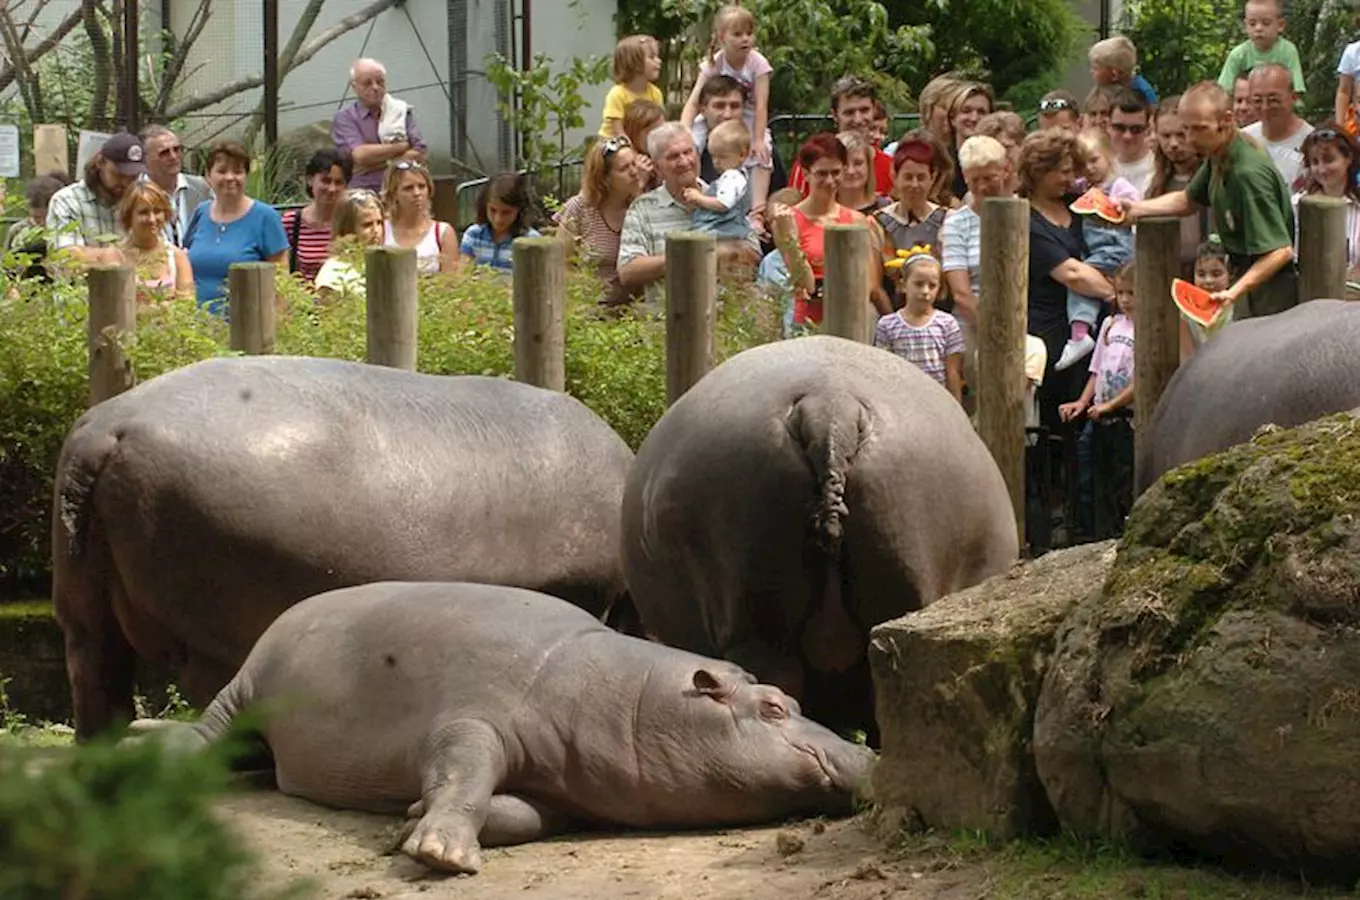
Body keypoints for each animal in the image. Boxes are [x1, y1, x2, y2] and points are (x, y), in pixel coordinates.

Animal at [132, 584, 875, 875]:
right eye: (773, 706)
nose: (867, 755)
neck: (624, 699)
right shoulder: (471, 718)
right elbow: (463, 775)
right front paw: (441, 853)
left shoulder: (562, 787)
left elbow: (524, 813)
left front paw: (411, 818)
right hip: (248, 687)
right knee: (207, 735)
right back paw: (144, 742)